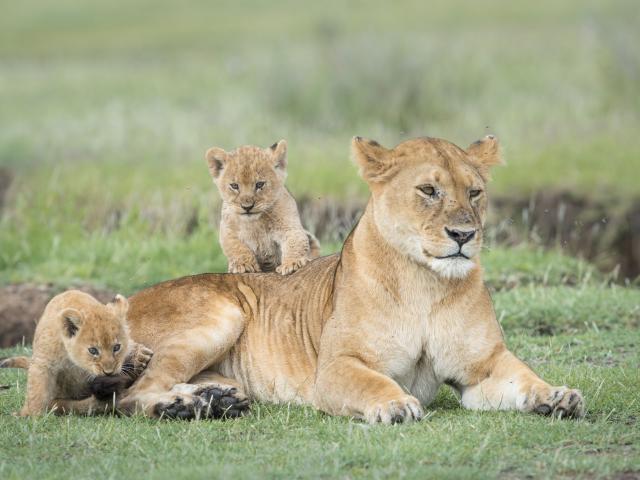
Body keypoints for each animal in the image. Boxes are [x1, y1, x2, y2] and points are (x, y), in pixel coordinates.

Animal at [0, 290, 153, 416]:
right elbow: (37, 389)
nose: (109, 372)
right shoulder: (43, 362)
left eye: (116, 347)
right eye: (93, 350)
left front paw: (140, 356)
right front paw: (31, 415)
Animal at [205, 140, 320, 275]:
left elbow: (295, 241)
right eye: (234, 186)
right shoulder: (228, 230)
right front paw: (244, 265)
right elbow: (236, 247)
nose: (247, 207)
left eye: (259, 184)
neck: (255, 223)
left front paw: (291, 263)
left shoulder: (289, 226)